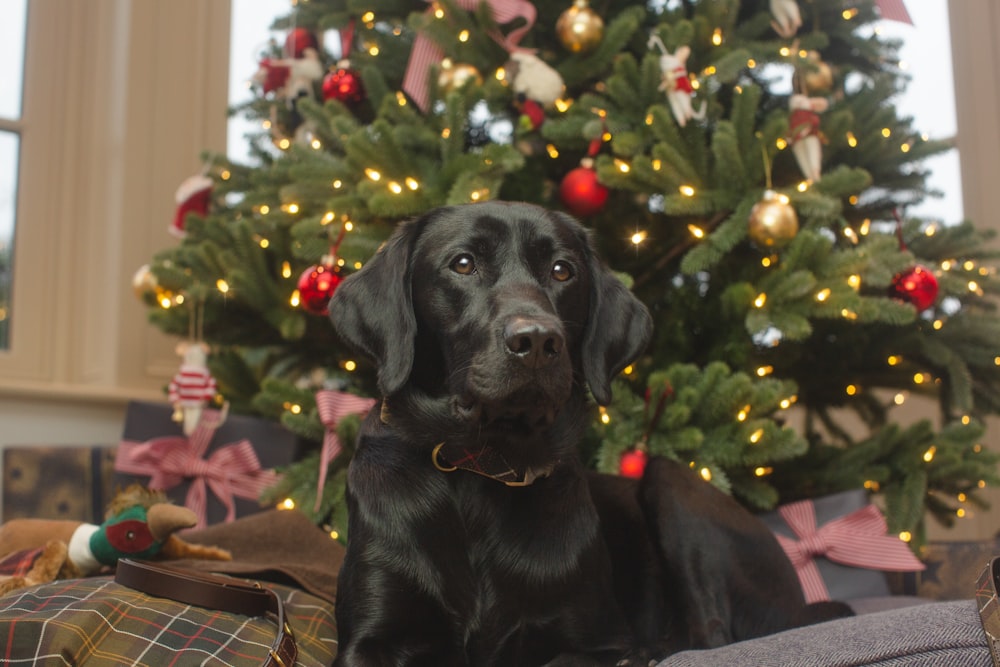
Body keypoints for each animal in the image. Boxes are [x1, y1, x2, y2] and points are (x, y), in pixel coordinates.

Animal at [326, 201, 844, 664]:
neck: (486, 466)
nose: (537, 341)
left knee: (710, 636)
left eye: (562, 270)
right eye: (463, 263)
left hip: (672, 484)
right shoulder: (371, 639)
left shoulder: (597, 641)